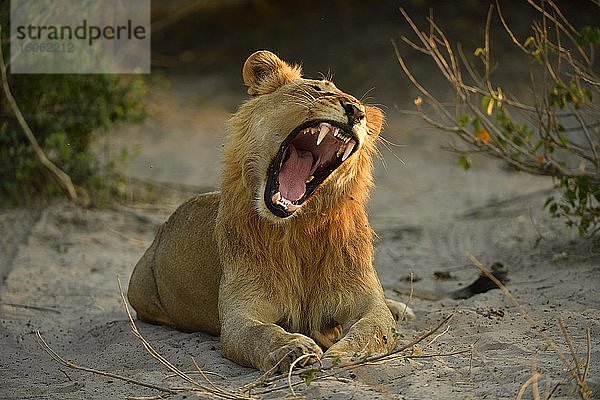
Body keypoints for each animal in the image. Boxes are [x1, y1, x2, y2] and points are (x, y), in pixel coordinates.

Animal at [127, 50, 412, 372]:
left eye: (361, 108)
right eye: (318, 89)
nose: (356, 112)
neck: (298, 227)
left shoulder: (366, 301)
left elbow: (374, 328)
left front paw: (345, 354)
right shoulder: (241, 313)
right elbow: (261, 333)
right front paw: (294, 348)